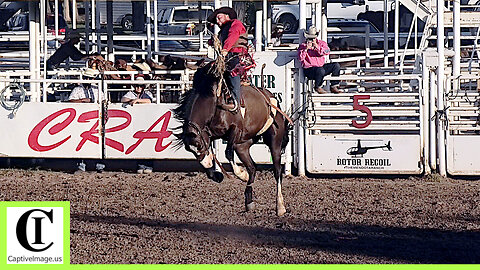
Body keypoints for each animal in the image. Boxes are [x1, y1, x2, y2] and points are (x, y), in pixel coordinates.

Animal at [174, 62, 290, 216]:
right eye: (189, 150)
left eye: (198, 145)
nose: (207, 163)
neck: (213, 101)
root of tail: (271, 98)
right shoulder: (210, 135)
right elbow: (213, 156)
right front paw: (217, 175)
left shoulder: (235, 130)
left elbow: (227, 153)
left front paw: (241, 174)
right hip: (242, 146)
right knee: (252, 167)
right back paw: (249, 201)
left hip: (274, 141)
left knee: (277, 171)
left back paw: (280, 206)